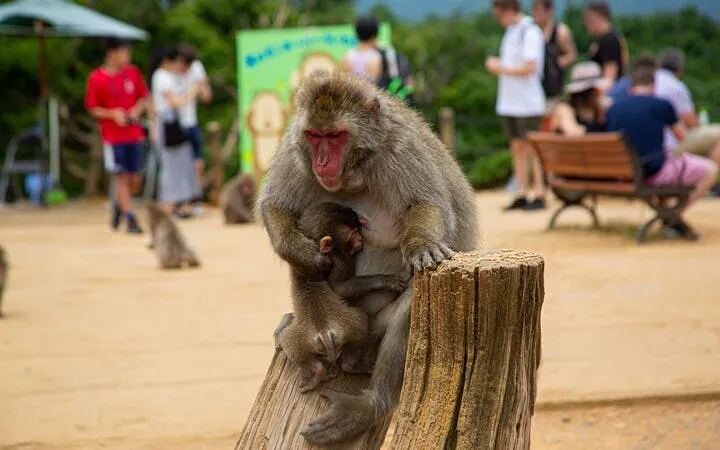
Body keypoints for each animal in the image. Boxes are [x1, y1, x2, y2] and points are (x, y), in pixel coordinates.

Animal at [273, 202, 408, 393]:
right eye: (353, 234)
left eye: (358, 230)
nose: (361, 240)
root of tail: (324, 332)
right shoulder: (339, 260)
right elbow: (342, 288)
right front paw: (388, 281)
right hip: (346, 324)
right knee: (360, 318)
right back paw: (350, 365)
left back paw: (316, 371)